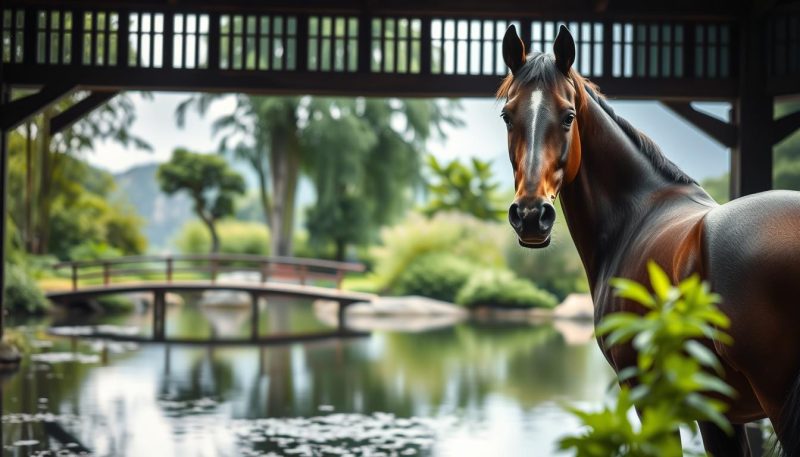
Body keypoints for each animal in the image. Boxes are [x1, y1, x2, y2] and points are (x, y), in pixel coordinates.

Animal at [497, 24, 800, 456]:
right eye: (507, 115)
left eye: (568, 116)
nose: (529, 216)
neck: (635, 213)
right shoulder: (716, 410)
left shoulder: (647, 394)